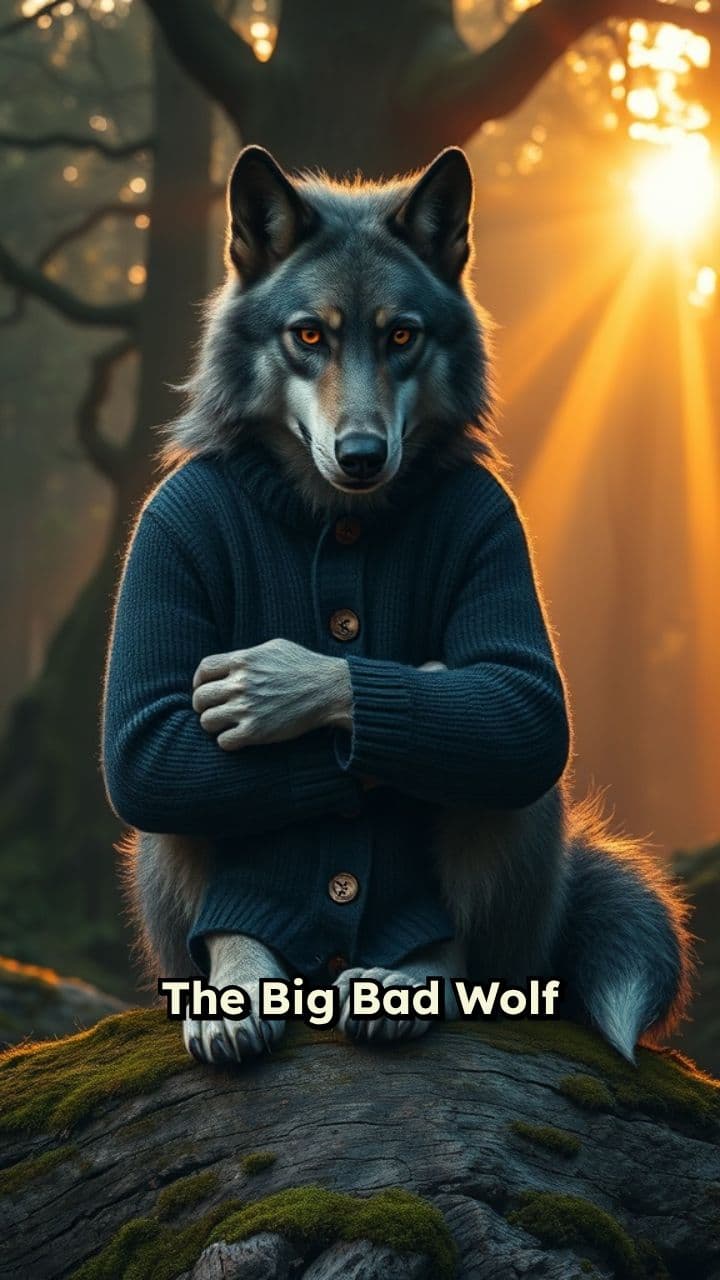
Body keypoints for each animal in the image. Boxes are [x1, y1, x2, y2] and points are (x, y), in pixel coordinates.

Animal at [107, 145, 693, 1067]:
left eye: (402, 337)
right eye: (309, 335)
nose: (361, 454)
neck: (331, 514)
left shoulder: (495, 533)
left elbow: (492, 690)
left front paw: (307, 685)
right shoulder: (168, 528)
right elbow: (146, 739)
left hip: (511, 841)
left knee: (477, 775)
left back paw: (407, 978)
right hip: (170, 837)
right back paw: (239, 984)